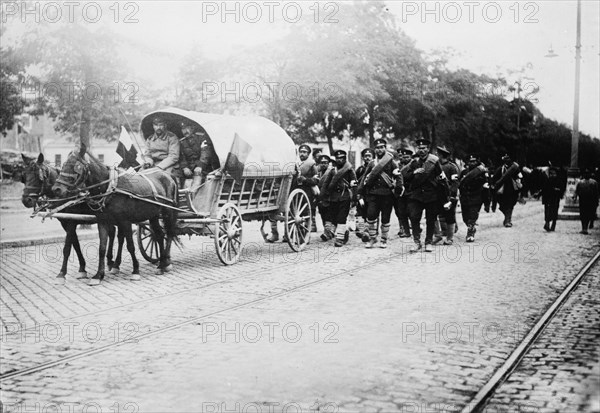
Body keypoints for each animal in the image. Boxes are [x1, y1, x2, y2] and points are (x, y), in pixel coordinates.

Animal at [21, 153, 138, 282]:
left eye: (39, 176)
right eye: (24, 176)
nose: (26, 200)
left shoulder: (72, 222)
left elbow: (67, 247)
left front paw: (62, 273)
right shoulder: (66, 223)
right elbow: (75, 244)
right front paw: (82, 268)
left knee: (120, 237)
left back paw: (116, 263)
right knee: (113, 233)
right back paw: (110, 261)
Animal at [53, 146, 178, 284]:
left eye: (76, 167)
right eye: (63, 165)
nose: (56, 189)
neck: (110, 188)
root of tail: (168, 175)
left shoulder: (125, 222)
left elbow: (130, 246)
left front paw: (135, 271)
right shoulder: (102, 221)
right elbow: (102, 248)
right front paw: (98, 275)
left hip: (167, 212)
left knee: (169, 233)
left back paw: (166, 262)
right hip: (153, 215)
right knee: (159, 235)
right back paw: (161, 265)